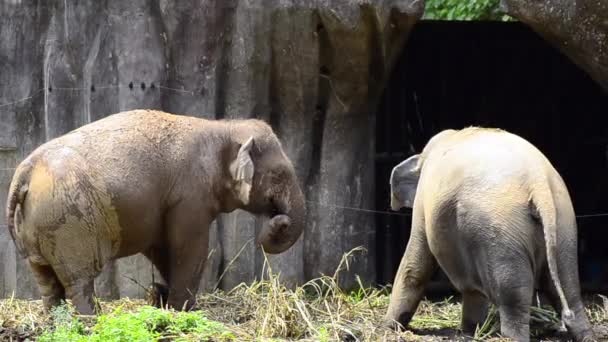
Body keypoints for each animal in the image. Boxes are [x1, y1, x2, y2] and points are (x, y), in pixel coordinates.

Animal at [5, 110, 304, 316]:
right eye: (279, 174)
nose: (279, 219)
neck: (222, 126)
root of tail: (25, 172)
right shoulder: (190, 196)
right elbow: (189, 248)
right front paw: (181, 310)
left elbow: (161, 249)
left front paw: (164, 299)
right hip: (68, 223)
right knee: (79, 280)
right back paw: (93, 320)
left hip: (35, 225)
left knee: (45, 279)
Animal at [384, 127, 592, 340]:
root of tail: (539, 184)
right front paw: (469, 330)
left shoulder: (422, 204)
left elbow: (415, 264)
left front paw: (386, 327)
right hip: (563, 223)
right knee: (570, 287)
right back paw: (585, 334)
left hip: (501, 229)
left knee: (513, 296)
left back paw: (511, 337)